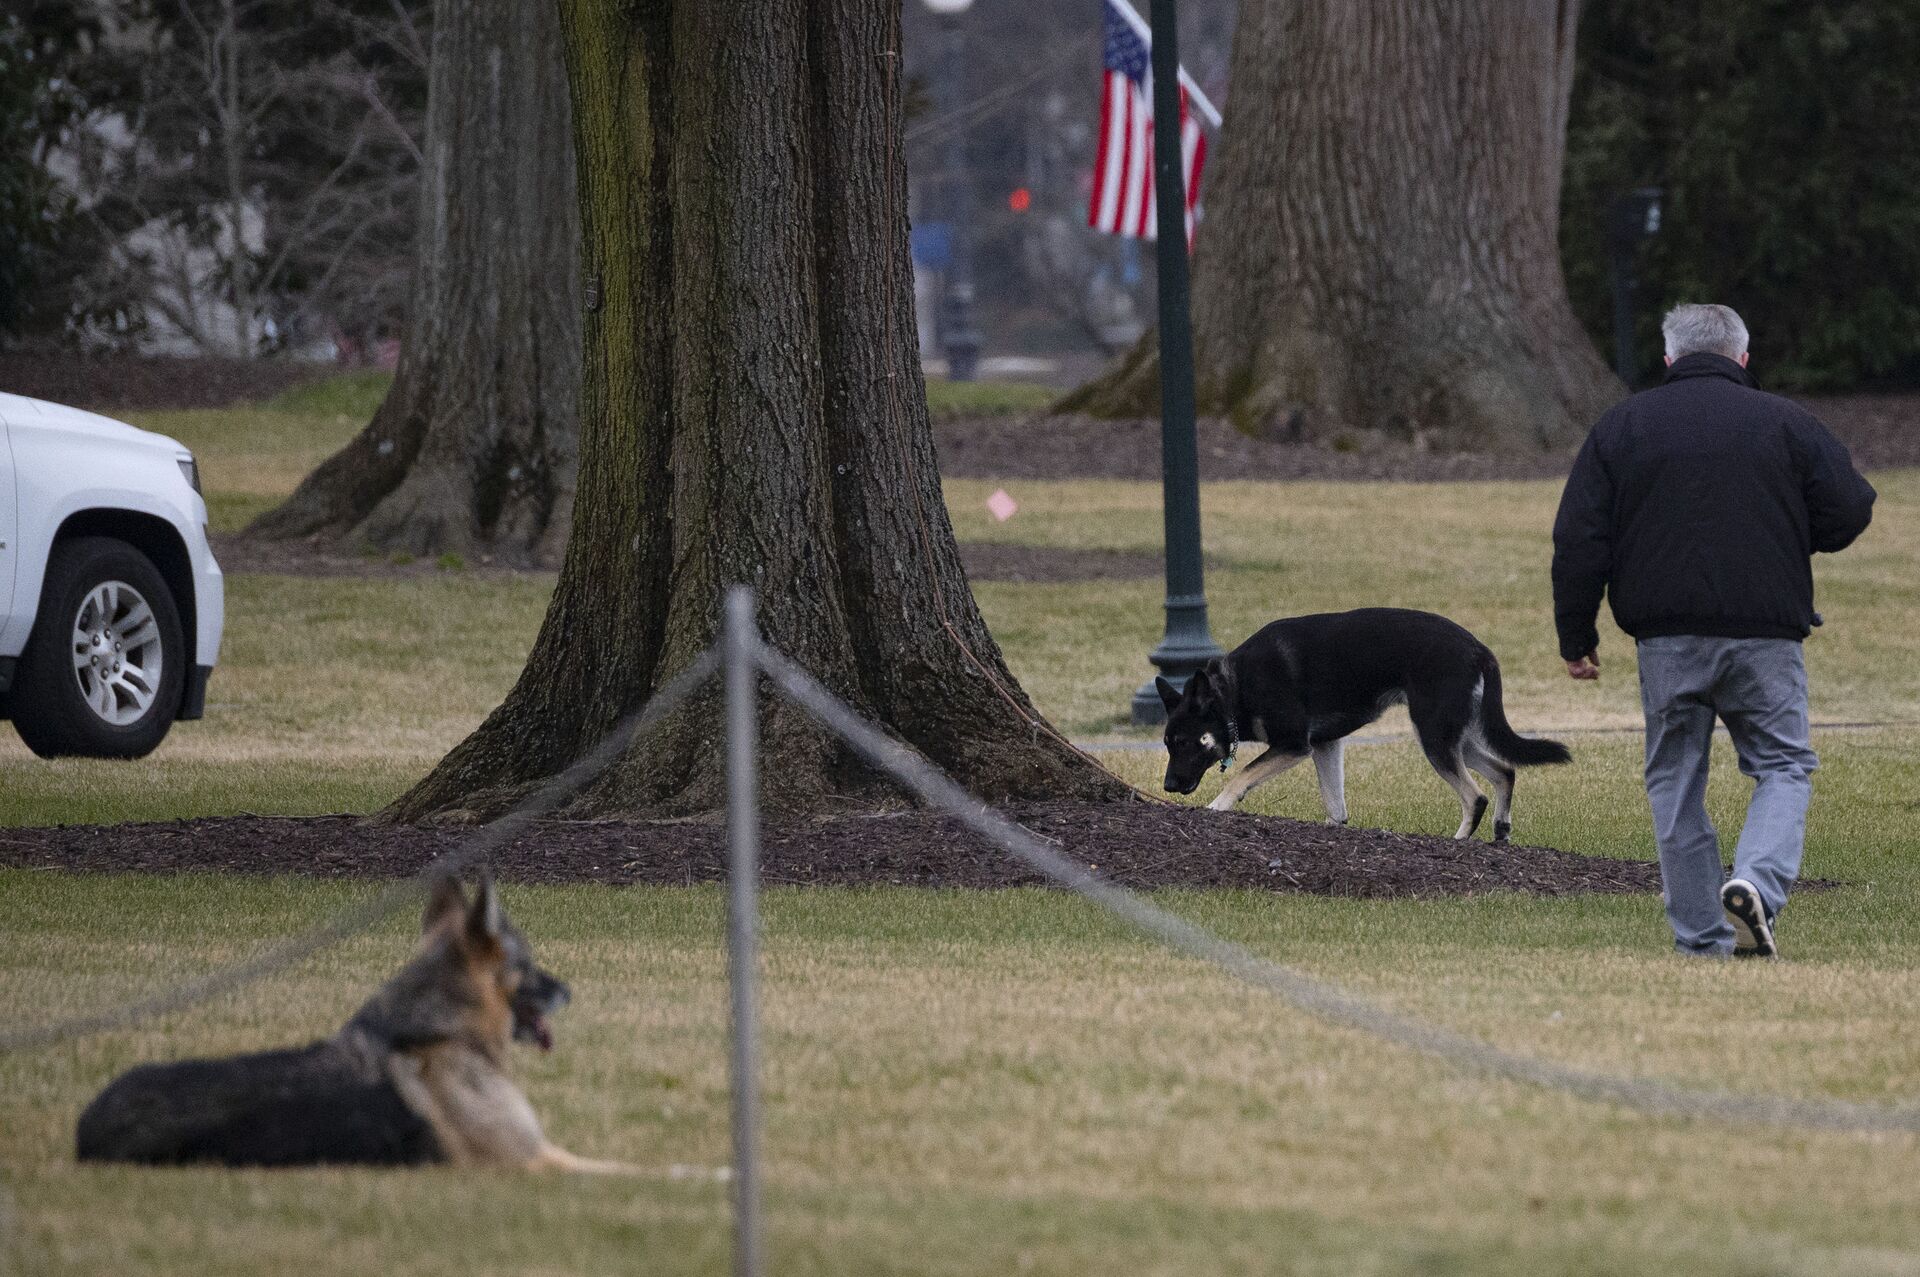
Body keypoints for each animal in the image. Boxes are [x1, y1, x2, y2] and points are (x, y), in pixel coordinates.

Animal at [74, 871, 625, 1167]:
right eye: (528, 966)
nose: (569, 990)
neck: (435, 1034)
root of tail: (85, 1134)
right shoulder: (530, 1160)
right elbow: (623, 1169)